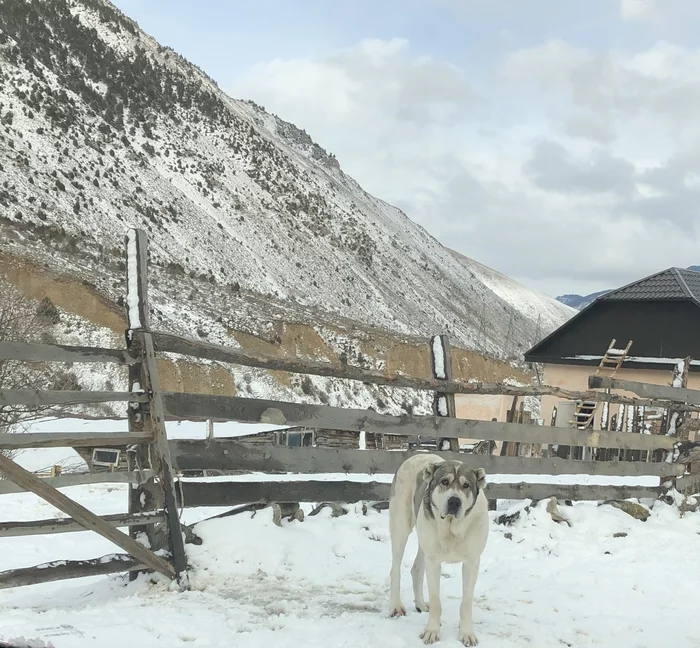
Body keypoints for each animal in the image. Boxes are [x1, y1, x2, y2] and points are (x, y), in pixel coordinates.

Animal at [386, 454, 490, 644]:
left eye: (466, 485)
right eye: (444, 482)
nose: (454, 501)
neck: (451, 527)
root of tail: (417, 453)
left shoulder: (471, 563)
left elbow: (466, 602)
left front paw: (466, 634)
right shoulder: (434, 562)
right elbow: (436, 601)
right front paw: (432, 631)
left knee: (416, 569)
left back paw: (420, 604)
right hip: (400, 527)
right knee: (395, 570)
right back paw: (395, 606)